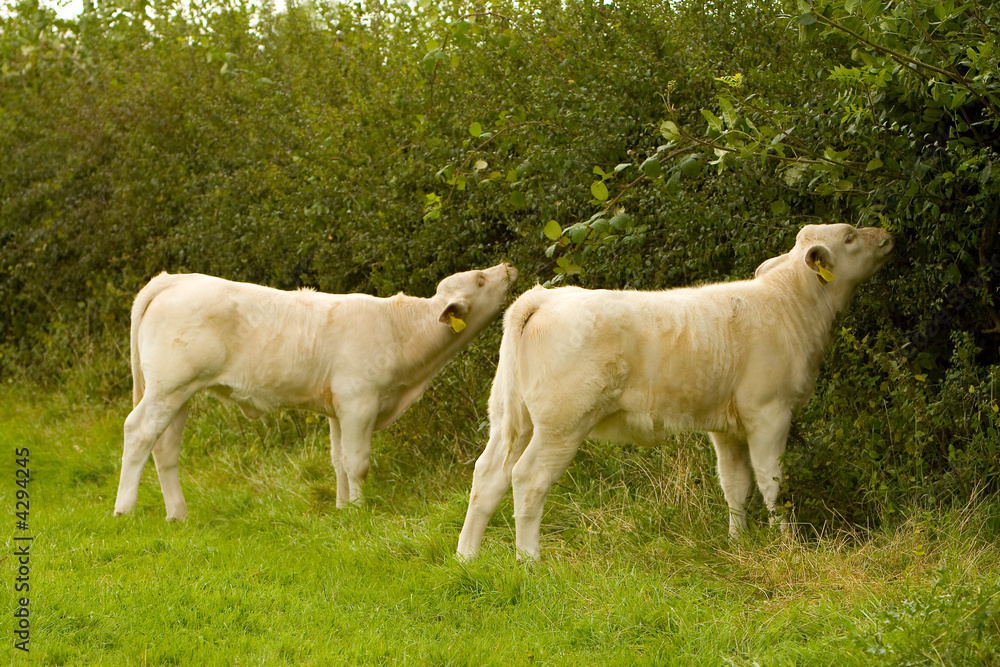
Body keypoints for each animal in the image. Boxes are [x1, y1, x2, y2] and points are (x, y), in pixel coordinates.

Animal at [114, 263, 518, 520]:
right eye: (480, 280)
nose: (508, 265)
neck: (400, 331)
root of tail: (173, 280)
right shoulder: (359, 401)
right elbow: (357, 462)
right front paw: (358, 512)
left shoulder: (338, 407)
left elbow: (338, 460)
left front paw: (341, 509)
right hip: (168, 386)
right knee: (138, 432)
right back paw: (124, 509)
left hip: (178, 392)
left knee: (165, 447)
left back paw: (177, 514)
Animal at [456, 224, 893, 560]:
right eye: (850, 236)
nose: (887, 235)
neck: (789, 304)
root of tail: (545, 296)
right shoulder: (769, 411)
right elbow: (772, 482)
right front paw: (786, 542)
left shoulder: (726, 424)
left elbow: (735, 484)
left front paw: (738, 541)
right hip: (561, 423)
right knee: (528, 478)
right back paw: (529, 560)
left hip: (511, 417)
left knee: (488, 475)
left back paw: (467, 558)